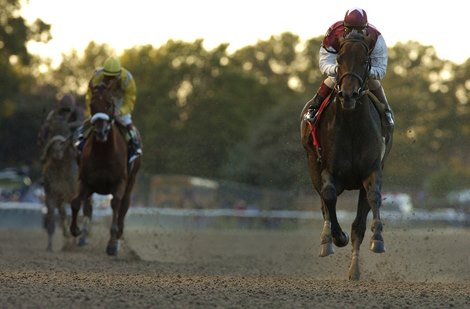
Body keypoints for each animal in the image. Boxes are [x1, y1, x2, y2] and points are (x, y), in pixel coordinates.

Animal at [69, 79, 140, 255]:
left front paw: (113, 243)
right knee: (88, 206)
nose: (100, 132)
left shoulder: (120, 182)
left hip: (131, 182)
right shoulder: (85, 182)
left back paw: (118, 237)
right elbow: (75, 202)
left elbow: (115, 204)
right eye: (92, 104)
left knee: (123, 207)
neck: (103, 153)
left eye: (109, 104)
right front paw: (76, 230)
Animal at [302, 31, 392, 280]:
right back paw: (327, 240)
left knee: (357, 222)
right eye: (339, 59)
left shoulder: (372, 169)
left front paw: (377, 239)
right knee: (324, 203)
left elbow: (373, 200)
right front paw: (334, 237)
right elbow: (329, 197)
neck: (352, 125)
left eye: (365, 60)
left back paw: (354, 268)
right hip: (313, 166)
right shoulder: (328, 171)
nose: (348, 94)